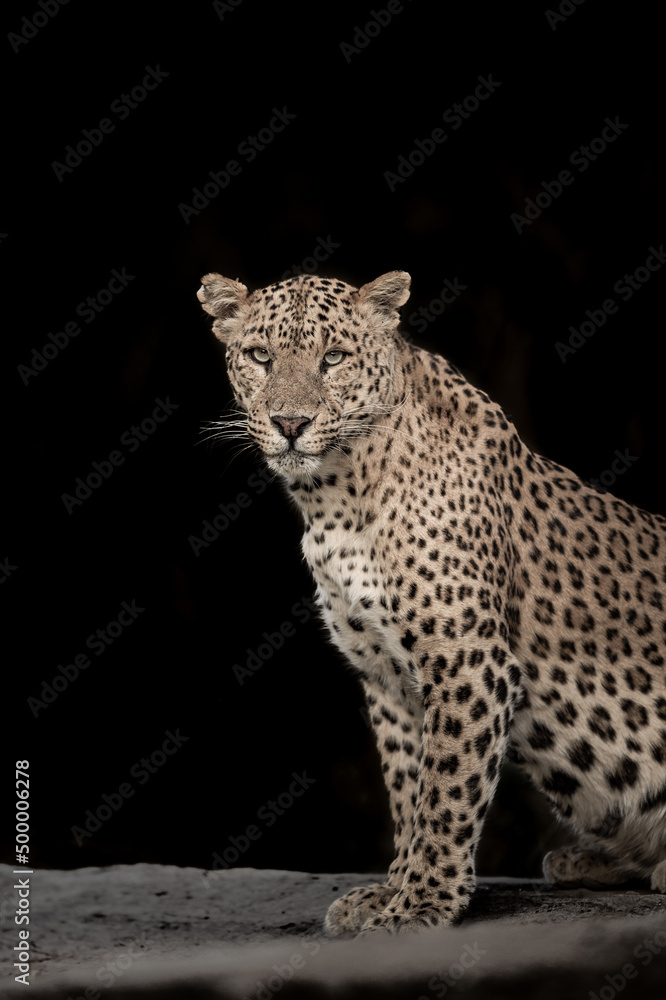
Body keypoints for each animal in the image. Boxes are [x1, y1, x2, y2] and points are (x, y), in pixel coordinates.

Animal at [197, 268, 666, 935]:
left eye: (333, 358)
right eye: (261, 356)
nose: (291, 422)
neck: (335, 498)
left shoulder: (467, 660)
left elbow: (446, 789)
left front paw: (421, 902)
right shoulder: (388, 677)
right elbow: (408, 787)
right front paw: (391, 888)